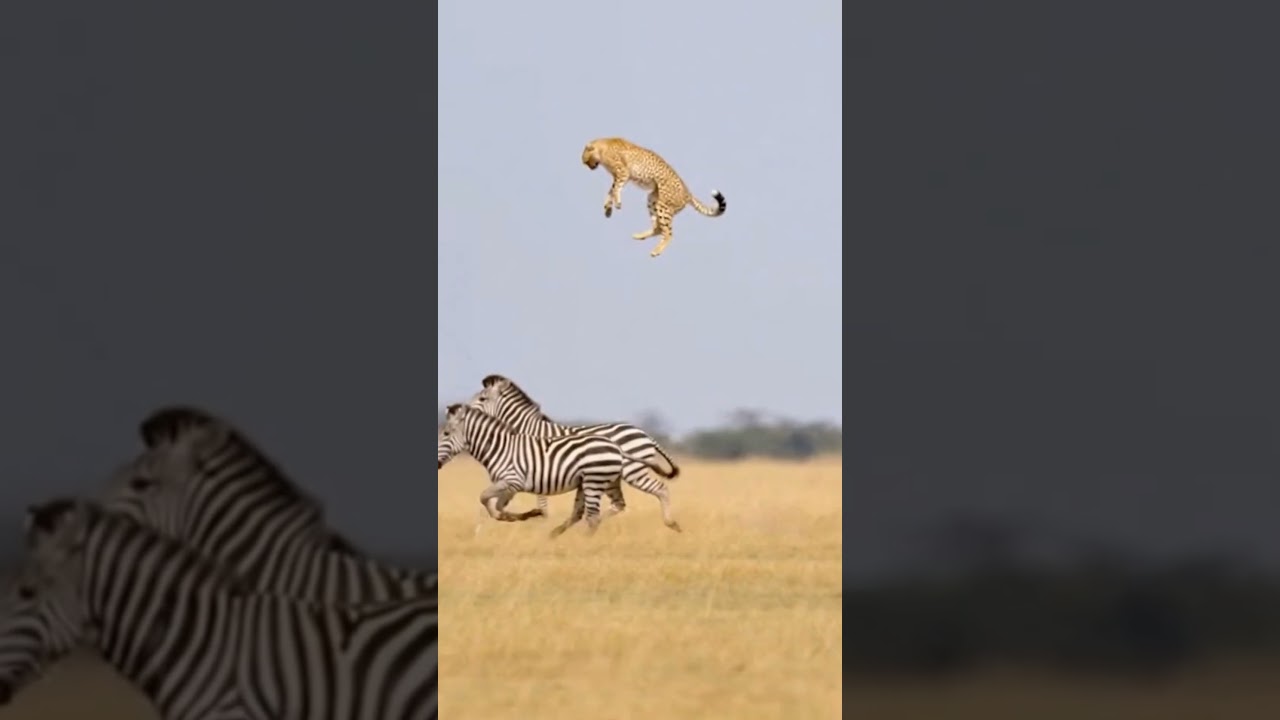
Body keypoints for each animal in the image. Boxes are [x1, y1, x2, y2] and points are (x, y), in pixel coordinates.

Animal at [437, 403, 676, 537]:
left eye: (446, 433)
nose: (436, 463)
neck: (500, 448)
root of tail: (615, 447)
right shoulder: (510, 486)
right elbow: (496, 507)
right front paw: (525, 515)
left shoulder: (512, 480)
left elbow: (485, 499)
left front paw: (526, 515)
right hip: (597, 481)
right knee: (589, 512)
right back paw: (558, 534)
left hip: (596, 481)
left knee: (594, 517)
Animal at [467, 374, 684, 532]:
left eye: (482, 398)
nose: (463, 411)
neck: (525, 429)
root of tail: (645, 434)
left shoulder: (536, 467)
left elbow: (538, 501)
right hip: (613, 477)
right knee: (618, 504)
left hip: (633, 471)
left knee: (660, 489)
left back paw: (670, 522)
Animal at [581, 137, 726, 258]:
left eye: (586, 161)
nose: (591, 167)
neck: (602, 146)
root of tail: (688, 192)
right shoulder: (618, 176)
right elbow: (611, 190)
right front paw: (607, 208)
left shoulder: (623, 173)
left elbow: (615, 188)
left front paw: (616, 203)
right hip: (653, 198)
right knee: (658, 228)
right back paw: (640, 236)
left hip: (663, 205)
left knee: (668, 233)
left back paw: (656, 251)